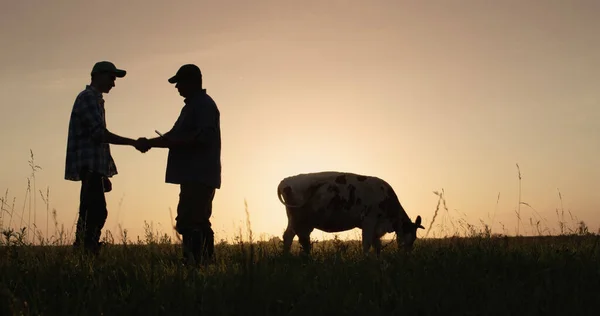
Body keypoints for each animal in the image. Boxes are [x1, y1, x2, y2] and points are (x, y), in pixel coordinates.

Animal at [278, 172, 424, 256]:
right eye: (411, 238)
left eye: (415, 238)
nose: (407, 256)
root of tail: (285, 180)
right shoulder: (369, 220)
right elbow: (367, 244)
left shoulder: (376, 226)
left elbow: (377, 245)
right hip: (299, 220)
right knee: (299, 238)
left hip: (295, 220)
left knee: (290, 237)